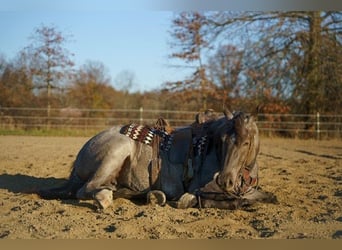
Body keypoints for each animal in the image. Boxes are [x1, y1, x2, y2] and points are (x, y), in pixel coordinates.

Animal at [38, 108, 278, 210]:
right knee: (87, 189)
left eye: (245, 143)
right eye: (221, 140)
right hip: (116, 153)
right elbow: (219, 200)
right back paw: (105, 198)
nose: (225, 180)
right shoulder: (202, 189)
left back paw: (150, 195)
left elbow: (269, 197)